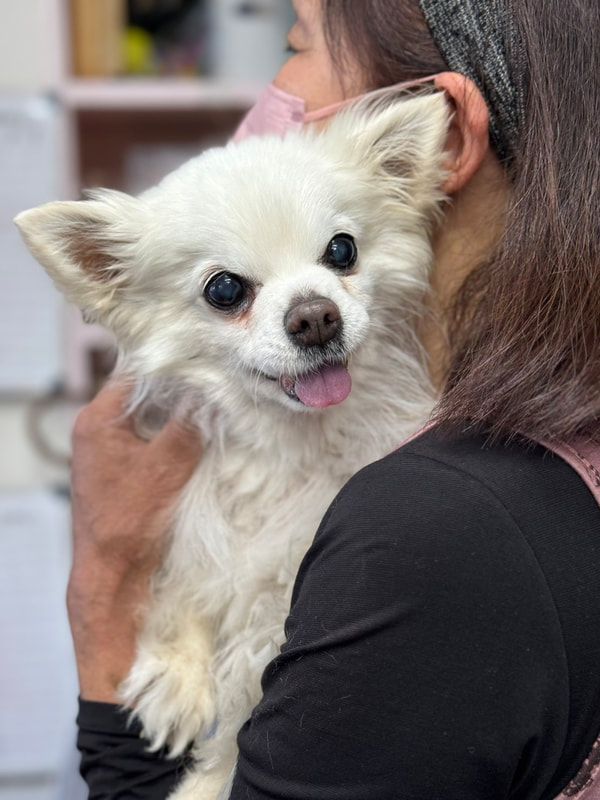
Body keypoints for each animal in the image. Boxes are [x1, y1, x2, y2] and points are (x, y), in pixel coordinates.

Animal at [15, 89, 450, 800]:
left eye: (342, 251)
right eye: (225, 290)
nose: (315, 315)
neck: (288, 442)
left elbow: (247, 691)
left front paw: (206, 774)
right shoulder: (192, 520)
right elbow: (185, 585)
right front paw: (176, 676)